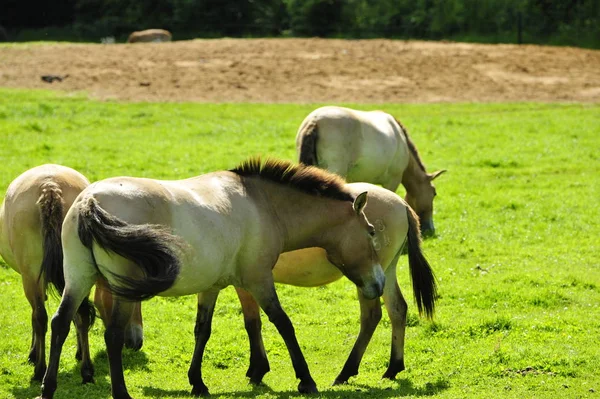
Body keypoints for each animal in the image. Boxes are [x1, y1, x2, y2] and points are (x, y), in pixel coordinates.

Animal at [38, 159, 384, 399]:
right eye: (370, 232)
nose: (378, 283)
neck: (262, 203)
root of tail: (89, 202)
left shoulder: (213, 287)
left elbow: (202, 331)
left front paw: (197, 382)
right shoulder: (259, 280)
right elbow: (283, 323)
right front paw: (306, 380)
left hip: (79, 278)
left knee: (61, 322)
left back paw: (48, 387)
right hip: (119, 288)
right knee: (112, 335)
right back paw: (120, 392)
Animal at [234, 184, 436, 388]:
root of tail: (401, 203)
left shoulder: (250, 282)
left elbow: (252, 323)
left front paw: (257, 370)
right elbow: (252, 321)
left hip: (369, 281)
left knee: (371, 316)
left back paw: (346, 372)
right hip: (386, 272)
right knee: (397, 309)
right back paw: (393, 368)